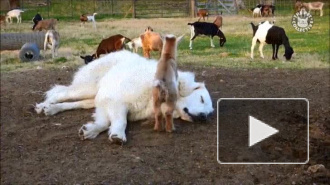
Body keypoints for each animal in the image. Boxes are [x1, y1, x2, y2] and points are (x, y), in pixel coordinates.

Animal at [34, 50, 213, 143]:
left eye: (210, 113)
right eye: (201, 99)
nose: (204, 117)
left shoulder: (107, 101)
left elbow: (105, 122)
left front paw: (91, 130)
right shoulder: (116, 100)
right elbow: (121, 121)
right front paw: (118, 134)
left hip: (94, 96)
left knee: (76, 103)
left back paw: (52, 109)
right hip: (87, 88)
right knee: (60, 93)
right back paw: (44, 105)